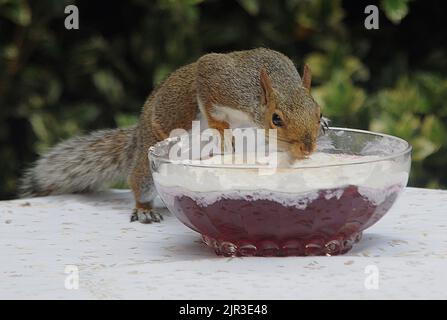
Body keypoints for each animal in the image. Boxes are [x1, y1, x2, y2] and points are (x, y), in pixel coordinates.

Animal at [19, 47, 328, 224]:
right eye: (276, 119)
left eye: (318, 109)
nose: (307, 149)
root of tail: (138, 135)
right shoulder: (219, 81)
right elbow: (206, 90)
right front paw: (220, 129)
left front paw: (325, 125)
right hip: (149, 163)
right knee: (138, 181)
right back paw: (143, 208)